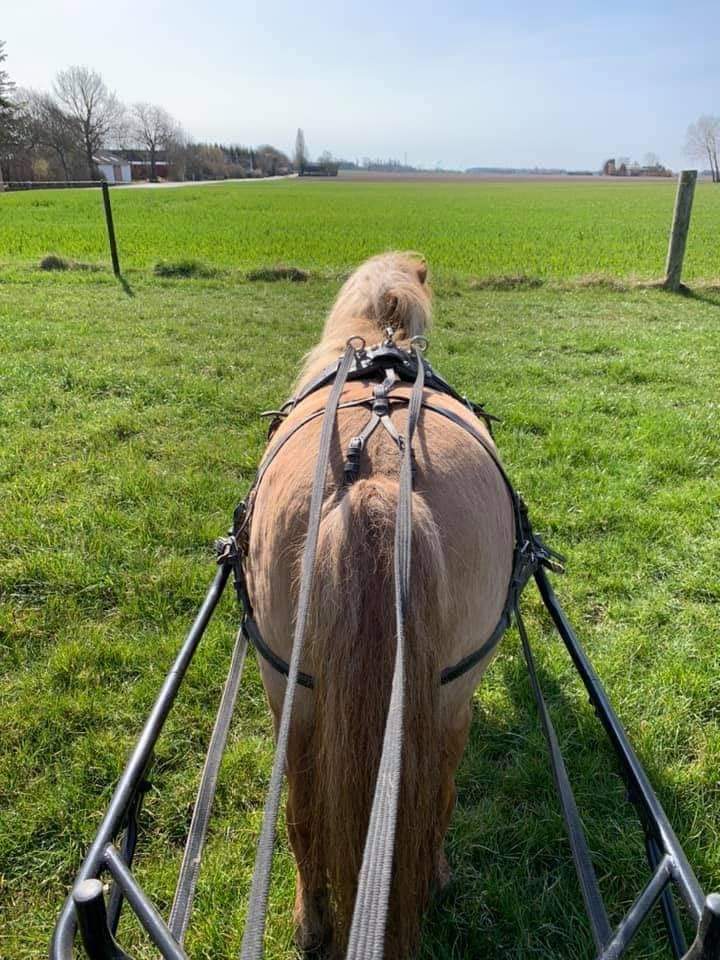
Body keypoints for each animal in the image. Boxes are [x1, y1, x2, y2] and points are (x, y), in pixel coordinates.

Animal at [248, 251, 516, 956]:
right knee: (434, 792)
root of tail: (378, 476)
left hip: (292, 694)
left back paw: (313, 920)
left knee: (304, 812)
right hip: (447, 698)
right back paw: (429, 876)